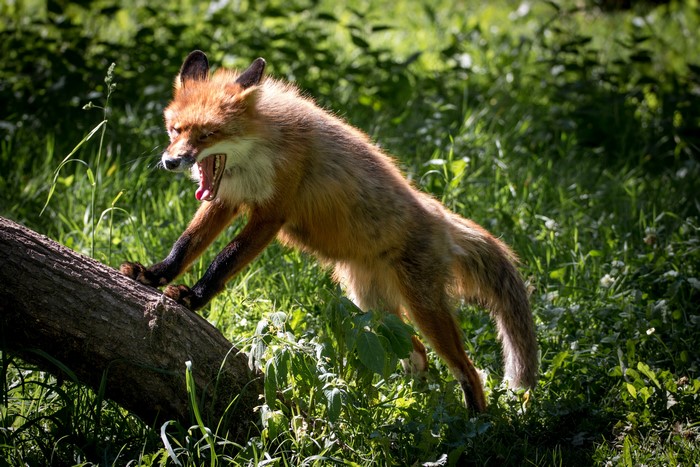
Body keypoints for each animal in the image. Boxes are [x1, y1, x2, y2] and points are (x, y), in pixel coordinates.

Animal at [120, 50, 538, 412]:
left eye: (206, 135)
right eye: (175, 130)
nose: (171, 161)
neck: (259, 149)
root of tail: (439, 216)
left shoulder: (271, 214)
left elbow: (222, 261)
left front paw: (194, 297)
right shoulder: (225, 200)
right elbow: (185, 245)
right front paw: (154, 274)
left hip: (424, 308)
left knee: (468, 370)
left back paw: (475, 424)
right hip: (372, 305)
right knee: (416, 353)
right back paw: (405, 404)